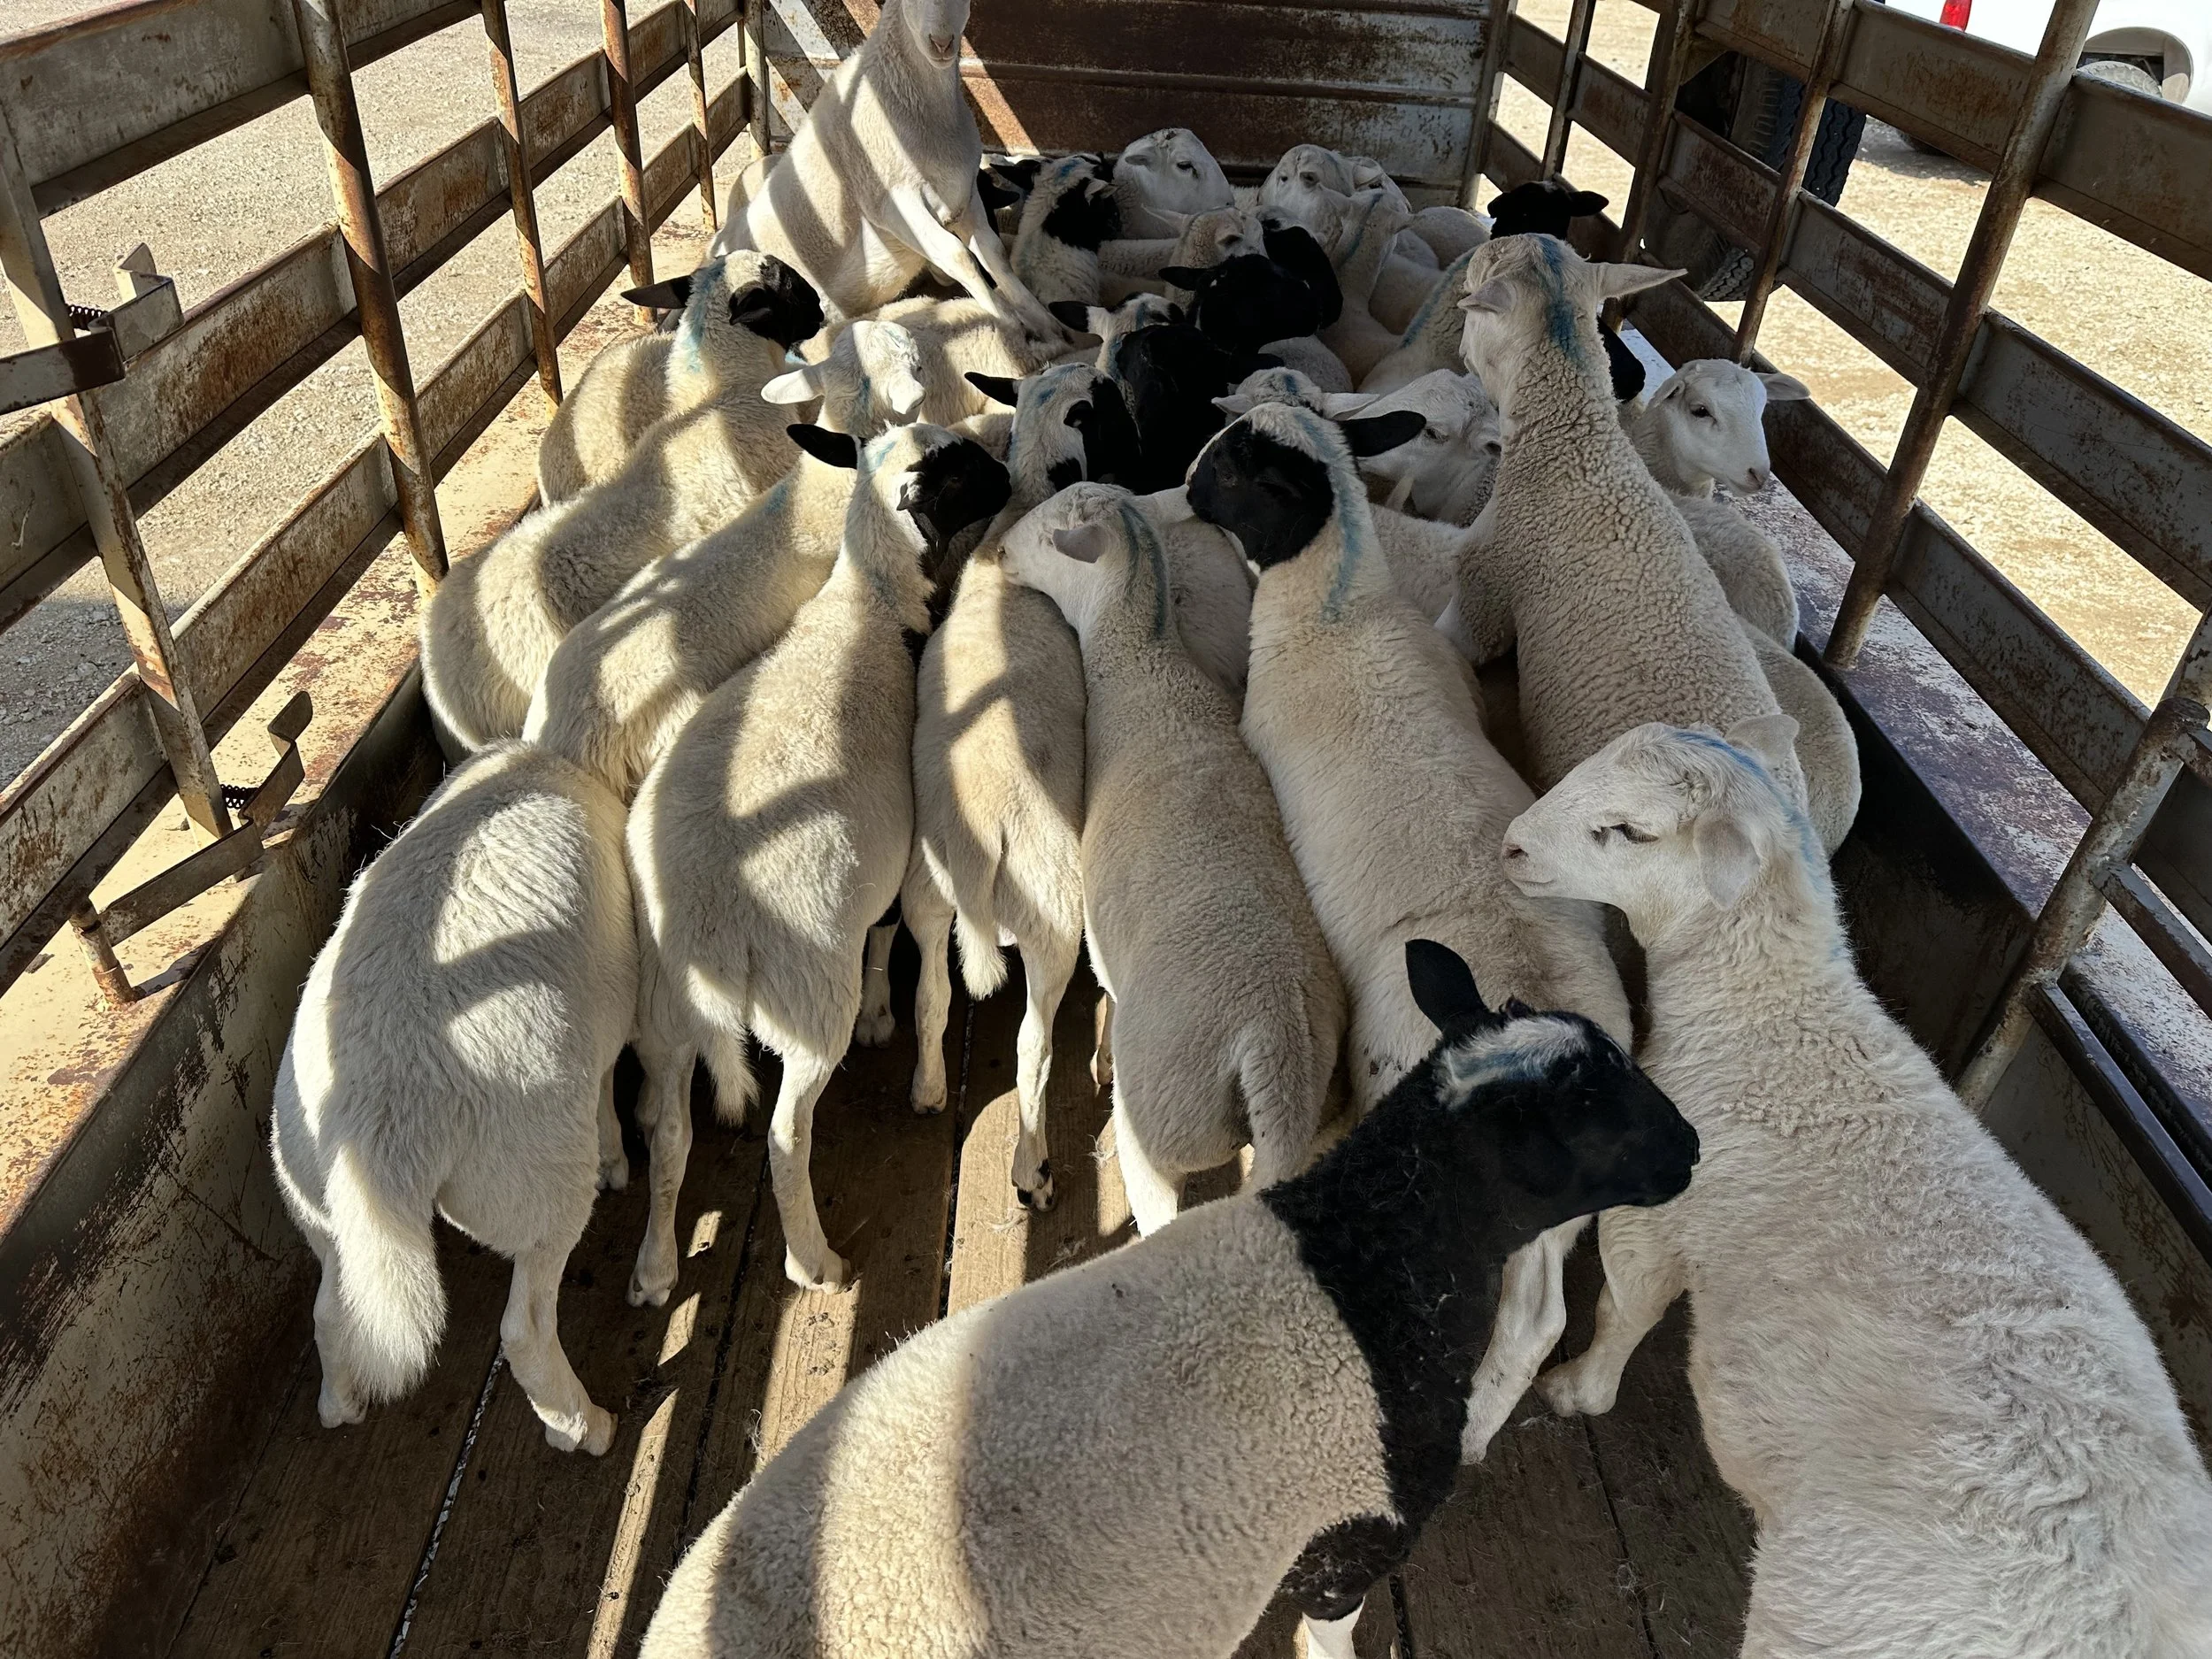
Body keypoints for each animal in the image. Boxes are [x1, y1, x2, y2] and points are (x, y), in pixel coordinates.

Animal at [269, 740, 635, 1456]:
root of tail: (379, 1127)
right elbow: (608, 1086)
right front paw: (616, 1159)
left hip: (309, 1192)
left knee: (329, 1307)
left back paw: (339, 1402)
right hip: (536, 1180)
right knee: (525, 1327)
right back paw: (585, 1427)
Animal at [626, 424, 1011, 1298]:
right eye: (959, 469)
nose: (1009, 473)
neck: (868, 602)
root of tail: (710, 921)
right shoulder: (898, 856)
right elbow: (891, 934)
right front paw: (883, 1017)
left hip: (664, 1009)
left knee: (669, 1136)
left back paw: (656, 1266)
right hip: (805, 998)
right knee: (785, 1136)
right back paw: (814, 1262)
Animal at [706, 0, 1060, 338]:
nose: (942, 42)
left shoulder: (965, 193)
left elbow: (995, 254)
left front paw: (1049, 324)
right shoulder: (892, 202)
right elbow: (958, 255)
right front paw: (1011, 324)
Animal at [1500, 719, 2212, 1659]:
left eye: (1630, 832)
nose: (1510, 846)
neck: (1769, 1016)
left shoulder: (1655, 1214)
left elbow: (1624, 1309)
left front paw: (1579, 1388)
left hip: (1838, 1611)